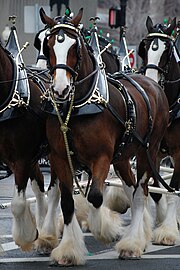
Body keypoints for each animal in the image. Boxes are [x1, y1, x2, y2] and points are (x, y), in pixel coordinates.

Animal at [39, 8, 169, 266]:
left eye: (74, 46)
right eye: (48, 46)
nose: (60, 89)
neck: (79, 106)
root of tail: (152, 83)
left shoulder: (101, 157)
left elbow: (96, 196)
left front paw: (104, 229)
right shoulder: (60, 158)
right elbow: (67, 202)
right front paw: (68, 250)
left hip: (148, 152)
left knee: (141, 193)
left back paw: (132, 243)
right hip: (123, 157)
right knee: (132, 189)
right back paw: (139, 235)